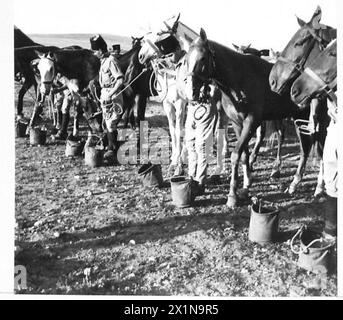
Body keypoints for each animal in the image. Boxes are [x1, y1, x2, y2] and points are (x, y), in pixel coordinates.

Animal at [180, 27, 328, 208]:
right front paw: (245, 187)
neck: (238, 80)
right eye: (185, 60)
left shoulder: (252, 122)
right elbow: (244, 155)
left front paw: (232, 196)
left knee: (321, 149)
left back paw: (319, 187)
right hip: (300, 119)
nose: (191, 93)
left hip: (318, 121)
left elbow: (236, 154)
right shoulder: (237, 124)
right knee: (305, 149)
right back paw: (294, 183)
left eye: (202, 58)